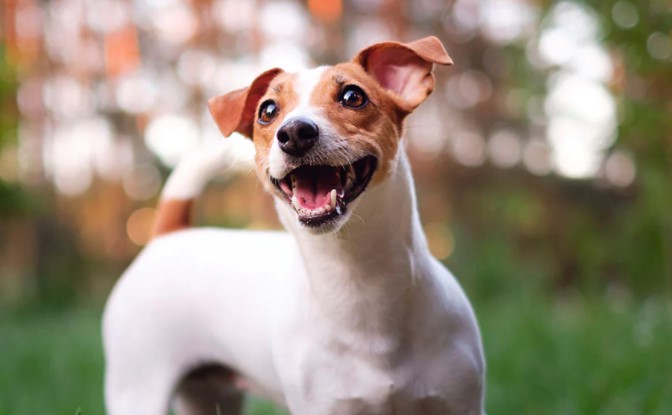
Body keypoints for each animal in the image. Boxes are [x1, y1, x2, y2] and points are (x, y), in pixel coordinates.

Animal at [103, 36, 484, 415]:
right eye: (268, 111)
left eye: (353, 96)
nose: (295, 132)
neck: (357, 279)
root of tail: (168, 235)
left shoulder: (461, 402)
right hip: (137, 390)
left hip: (210, 397)